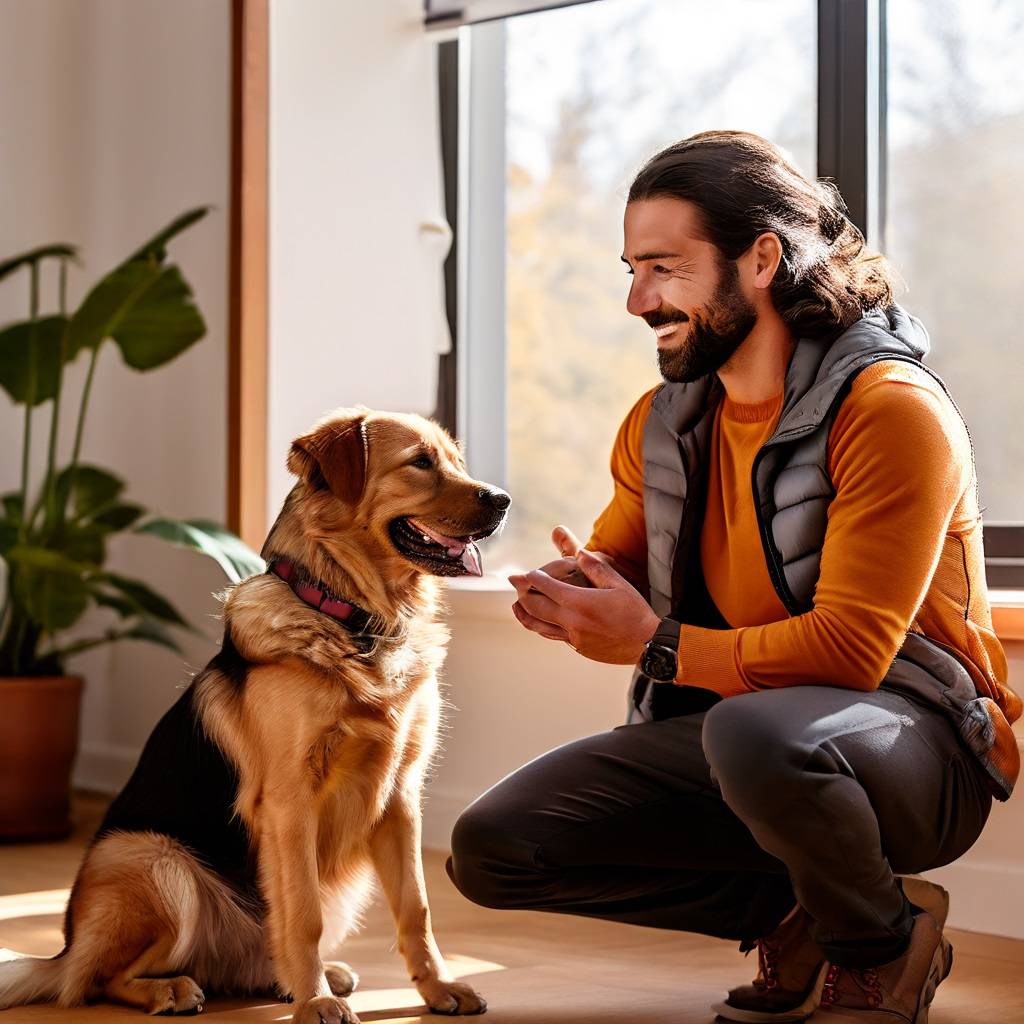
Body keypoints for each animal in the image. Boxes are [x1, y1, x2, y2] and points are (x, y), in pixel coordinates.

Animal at [0, 403, 507, 1019]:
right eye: (420, 463)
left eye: (456, 461)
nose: (503, 500)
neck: (351, 621)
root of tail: (66, 949)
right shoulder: (290, 802)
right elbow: (305, 916)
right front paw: (315, 1004)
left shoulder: (400, 798)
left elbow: (417, 908)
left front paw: (437, 989)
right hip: (157, 861)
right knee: (99, 979)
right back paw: (173, 989)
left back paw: (293, 977)